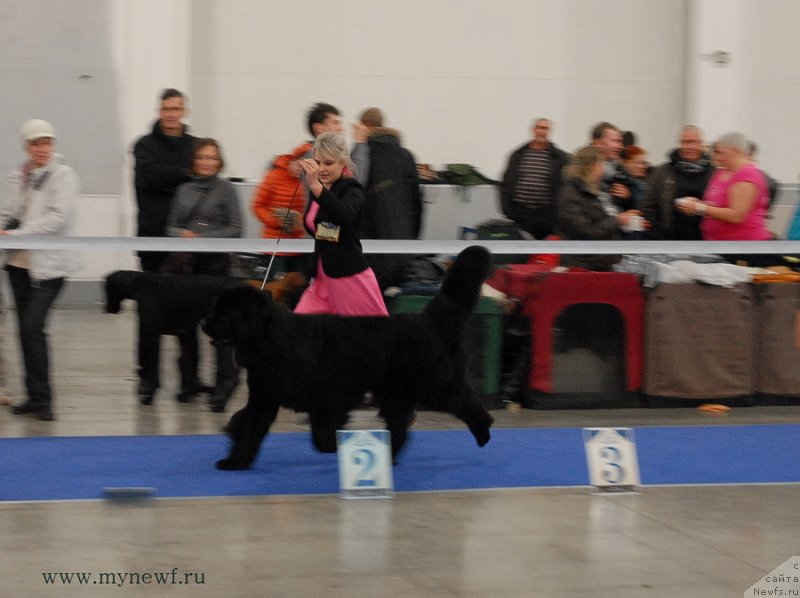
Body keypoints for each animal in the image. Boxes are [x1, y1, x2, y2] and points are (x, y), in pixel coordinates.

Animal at [104, 272, 247, 412]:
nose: (107, 309)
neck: (139, 284)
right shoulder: (185, 334)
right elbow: (187, 363)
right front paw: (187, 392)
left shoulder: (150, 334)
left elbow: (150, 364)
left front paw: (147, 391)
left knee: (229, 373)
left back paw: (219, 401)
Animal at [202, 246, 494, 472]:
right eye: (215, 307)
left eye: (224, 312)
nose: (204, 323)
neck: (270, 339)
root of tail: (426, 320)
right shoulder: (263, 398)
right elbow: (249, 429)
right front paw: (235, 461)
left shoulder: (328, 398)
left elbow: (322, 436)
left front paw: (337, 446)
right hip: (397, 393)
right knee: (405, 424)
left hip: (425, 386)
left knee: (458, 401)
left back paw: (483, 429)